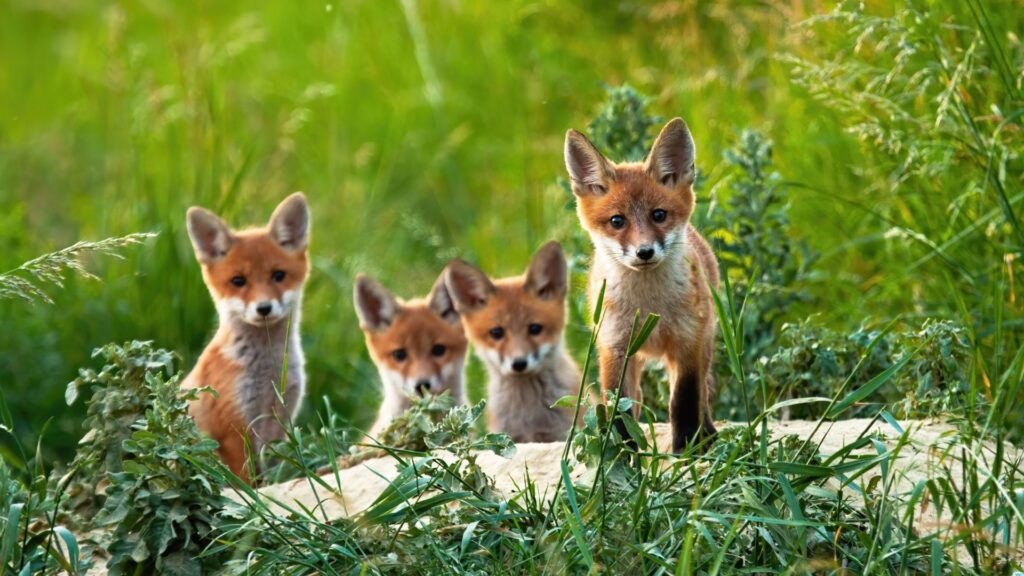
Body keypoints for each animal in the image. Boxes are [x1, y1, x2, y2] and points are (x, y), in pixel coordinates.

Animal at [182, 193, 310, 483]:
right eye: (238, 281)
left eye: (278, 275)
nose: (263, 308)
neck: (267, 371)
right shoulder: (233, 427)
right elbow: (247, 483)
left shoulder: (280, 417)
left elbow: (271, 473)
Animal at [444, 241, 581, 443]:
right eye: (497, 332)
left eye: (535, 329)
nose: (519, 364)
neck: (529, 415)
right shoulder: (508, 436)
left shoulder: (562, 434)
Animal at [564, 117, 720, 452]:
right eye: (617, 221)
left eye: (658, 215)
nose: (644, 252)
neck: (650, 308)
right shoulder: (615, 347)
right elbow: (619, 409)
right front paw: (621, 455)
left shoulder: (687, 342)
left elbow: (684, 401)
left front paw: (686, 448)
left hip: (706, 340)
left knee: (702, 392)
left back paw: (707, 434)